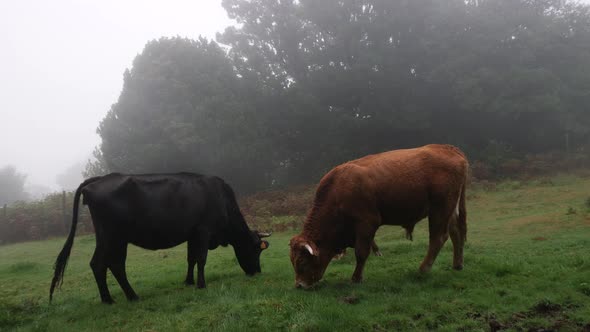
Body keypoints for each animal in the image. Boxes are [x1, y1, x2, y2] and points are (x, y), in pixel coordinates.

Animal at [49, 172, 272, 304]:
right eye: (256, 248)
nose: (257, 271)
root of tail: (98, 179)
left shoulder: (192, 234)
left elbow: (191, 259)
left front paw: (189, 281)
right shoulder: (203, 230)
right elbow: (201, 259)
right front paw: (201, 284)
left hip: (109, 237)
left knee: (103, 264)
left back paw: (114, 298)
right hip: (114, 236)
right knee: (109, 264)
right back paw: (124, 297)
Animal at [290, 145, 470, 288]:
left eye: (302, 261)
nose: (299, 285)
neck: (337, 194)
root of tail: (448, 148)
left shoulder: (367, 223)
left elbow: (361, 252)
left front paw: (356, 278)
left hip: (440, 209)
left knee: (438, 238)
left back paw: (423, 269)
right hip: (450, 209)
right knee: (456, 232)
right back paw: (457, 264)